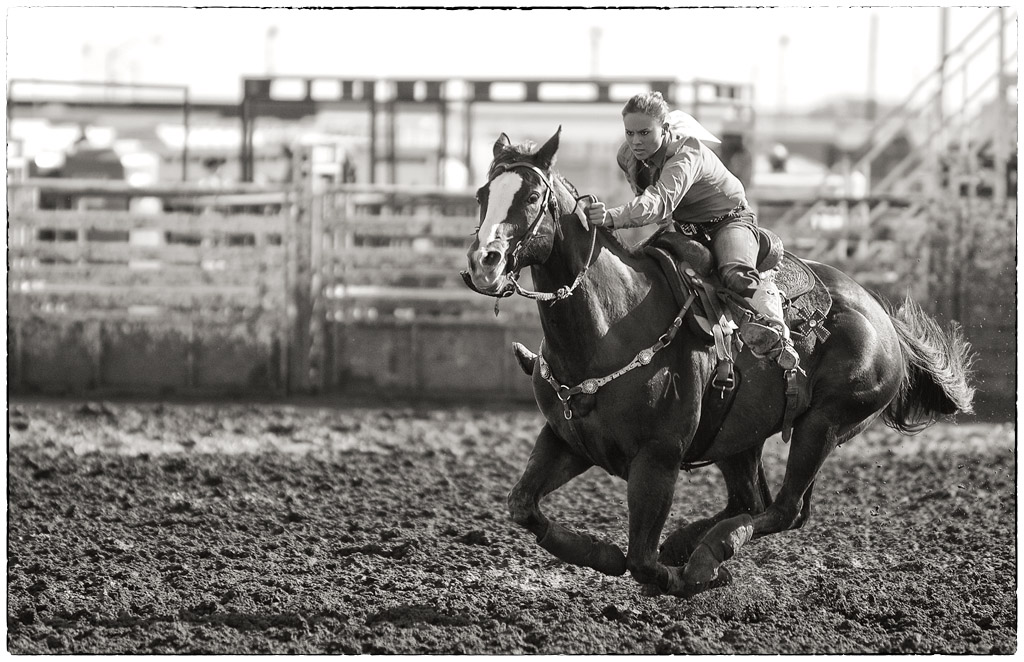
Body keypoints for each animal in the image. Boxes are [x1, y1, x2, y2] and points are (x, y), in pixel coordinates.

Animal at [460, 128, 970, 598]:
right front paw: (601, 553)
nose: (485, 262)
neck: (610, 326)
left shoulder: (658, 458)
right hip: (740, 438)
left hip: (823, 423)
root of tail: (883, 319)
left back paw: (705, 557)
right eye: (483, 194)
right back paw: (691, 546)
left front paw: (671, 573)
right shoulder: (565, 439)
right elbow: (522, 504)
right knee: (754, 502)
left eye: (531, 196)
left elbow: (640, 559)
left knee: (785, 509)